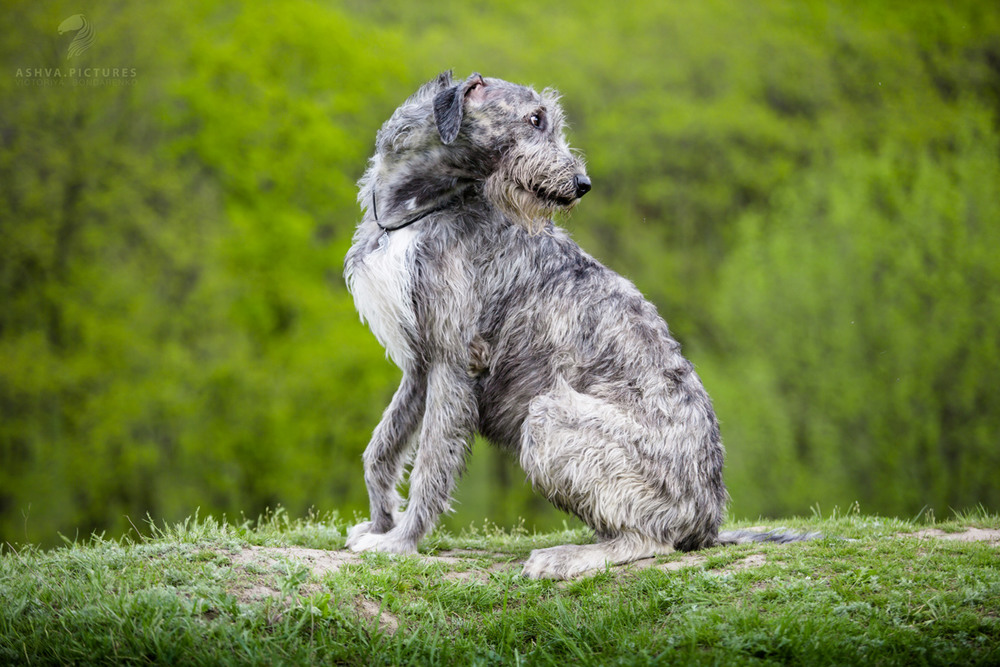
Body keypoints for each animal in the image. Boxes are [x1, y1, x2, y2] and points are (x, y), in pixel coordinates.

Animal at [344, 70, 812, 576]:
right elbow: (381, 450)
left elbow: (431, 461)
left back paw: (568, 555)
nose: (582, 183)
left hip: (551, 417)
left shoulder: (453, 361)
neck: (413, 211)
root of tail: (710, 519)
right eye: (535, 118)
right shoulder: (420, 364)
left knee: (652, 539)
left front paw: (401, 541)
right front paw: (380, 525)